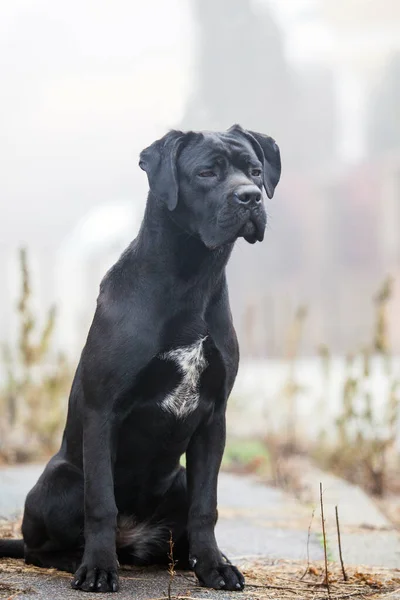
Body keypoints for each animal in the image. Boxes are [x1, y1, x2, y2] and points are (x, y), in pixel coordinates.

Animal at [0, 124, 282, 592]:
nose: (250, 197)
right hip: (62, 480)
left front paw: (213, 566)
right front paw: (98, 569)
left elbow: (206, 507)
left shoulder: (214, 418)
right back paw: (77, 559)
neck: (192, 278)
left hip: (179, 480)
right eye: (206, 172)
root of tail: (131, 539)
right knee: (41, 546)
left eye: (256, 171)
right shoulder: (103, 411)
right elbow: (101, 503)